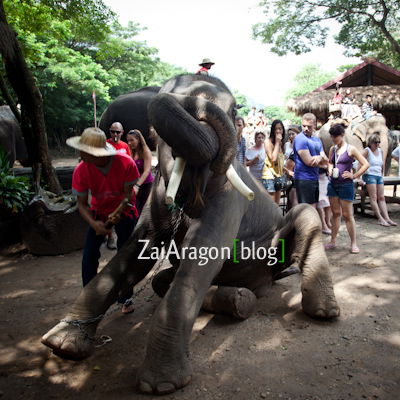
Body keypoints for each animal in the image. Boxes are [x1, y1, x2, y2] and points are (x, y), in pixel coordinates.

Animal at [41, 73, 340, 396]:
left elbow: (203, 254)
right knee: (160, 281)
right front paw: (61, 343)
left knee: (306, 213)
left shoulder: (229, 197)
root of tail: (266, 282)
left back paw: (322, 311)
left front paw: (160, 384)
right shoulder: (156, 197)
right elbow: (137, 251)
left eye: (233, 110)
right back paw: (238, 299)